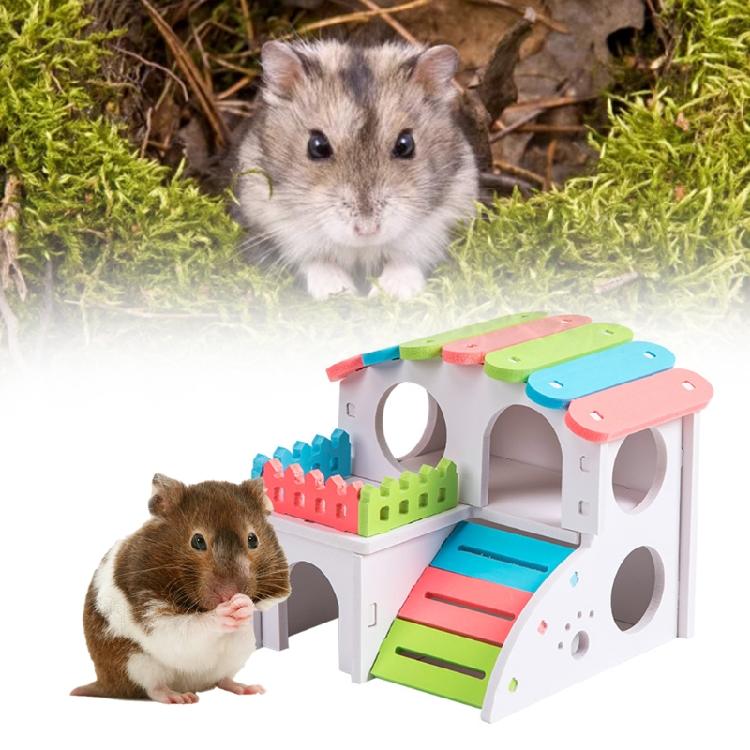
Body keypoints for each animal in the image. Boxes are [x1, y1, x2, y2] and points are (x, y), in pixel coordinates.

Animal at [71, 474, 291, 703]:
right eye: (197, 541)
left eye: (253, 539)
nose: (229, 594)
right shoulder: (153, 613)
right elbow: (188, 628)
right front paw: (227, 610)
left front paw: (243, 605)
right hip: (134, 662)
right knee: (153, 688)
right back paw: (180, 698)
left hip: (240, 649)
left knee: (223, 680)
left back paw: (248, 688)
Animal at [234, 39, 479, 300]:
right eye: (317, 146)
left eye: (405, 144)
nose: (367, 230)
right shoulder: (274, 222)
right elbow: (317, 261)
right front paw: (338, 292)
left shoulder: (443, 219)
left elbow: (406, 260)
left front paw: (392, 293)